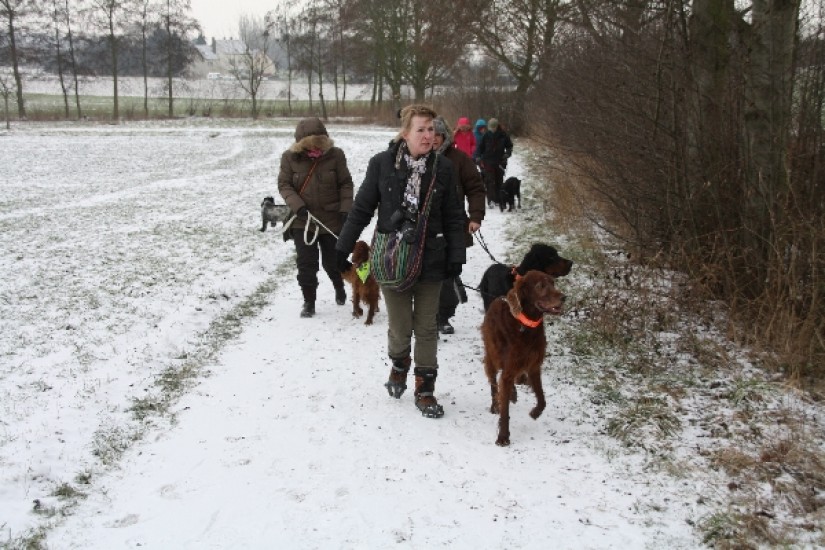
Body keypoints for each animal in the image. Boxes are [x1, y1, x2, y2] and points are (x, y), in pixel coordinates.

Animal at [481, 270, 565, 446]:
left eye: (553, 283)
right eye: (540, 286)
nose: (564, 297)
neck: (526, 326)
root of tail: (496, 298)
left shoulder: (534, 366)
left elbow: (542, 398)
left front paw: (535, 412)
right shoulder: (509, 367)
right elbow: (505, 409)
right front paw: (503, 437)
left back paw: (513, 394)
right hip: (491, 356)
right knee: (494, 383)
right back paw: (495, 405)